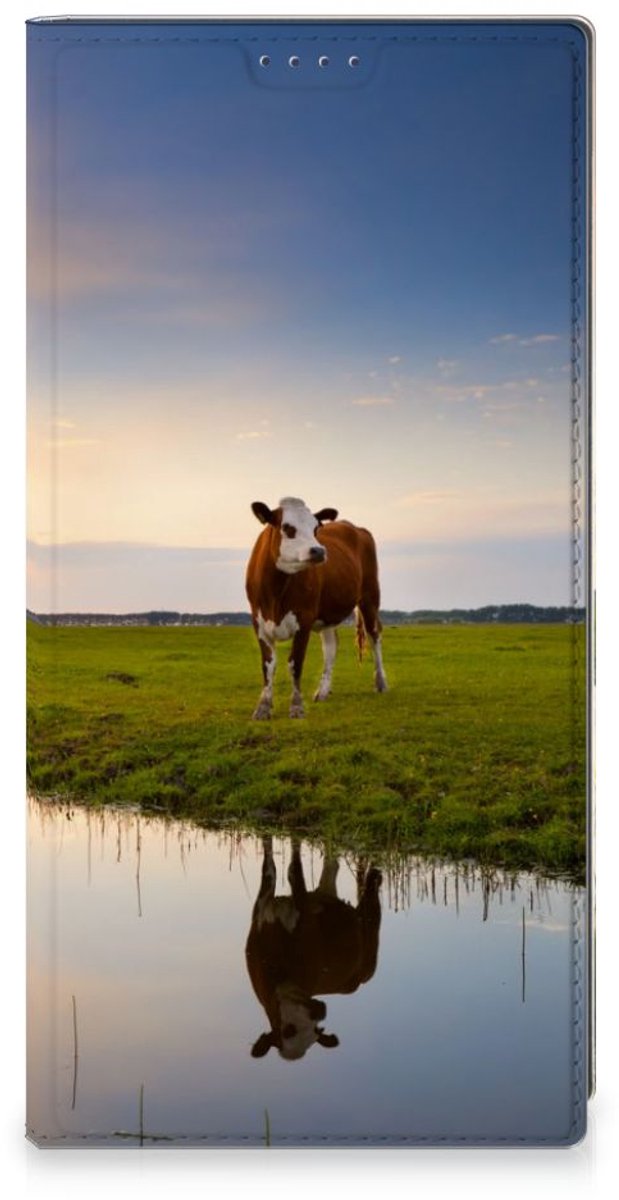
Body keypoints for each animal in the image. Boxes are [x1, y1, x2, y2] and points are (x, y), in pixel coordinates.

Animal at [245, 497, 387, 719]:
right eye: (287, 528)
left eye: (315, 528)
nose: (319, 551)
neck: (276, 592)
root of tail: (355, 527)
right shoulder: (259, 622)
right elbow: (268, 665)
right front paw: (263, 707)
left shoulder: (304, 619)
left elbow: (295, 663)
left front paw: (296, 707)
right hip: (328, 613)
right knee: (331, 646)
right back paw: (323, 691)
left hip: (370, 597)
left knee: (374, 636)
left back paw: (380, 682)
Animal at [245, 837, 382, 1060]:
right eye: (287, 1030)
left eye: (315, 1031)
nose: (320, 1011)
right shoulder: (261, 909)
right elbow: (270, 867)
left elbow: (294, 871)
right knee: (331, 865)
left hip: (370, 948)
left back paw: (375, 877)